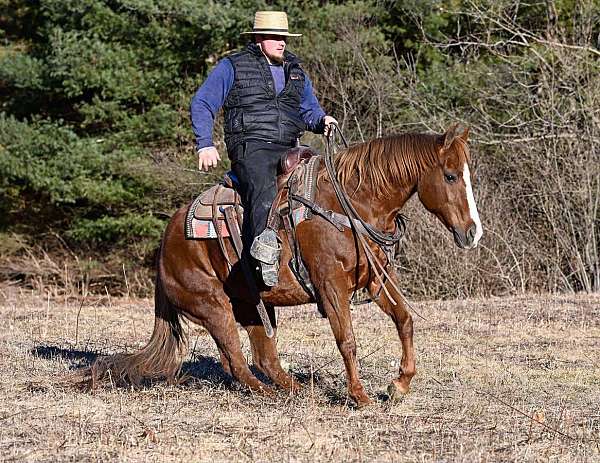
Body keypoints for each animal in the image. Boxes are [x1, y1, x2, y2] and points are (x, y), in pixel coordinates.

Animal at [88, 124, 482, 410]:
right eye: (450, 176)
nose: (472, 232)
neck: (352, 204)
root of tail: (166, 242)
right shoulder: (331, 285)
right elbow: (347, 340)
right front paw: (360, 396)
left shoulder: (375, 278)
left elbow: (404, 319)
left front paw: (399, 384)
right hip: (212, 307)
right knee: (236, 362)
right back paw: (272, 394)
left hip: (252, 306)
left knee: (265, 359)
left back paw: (299, 390)